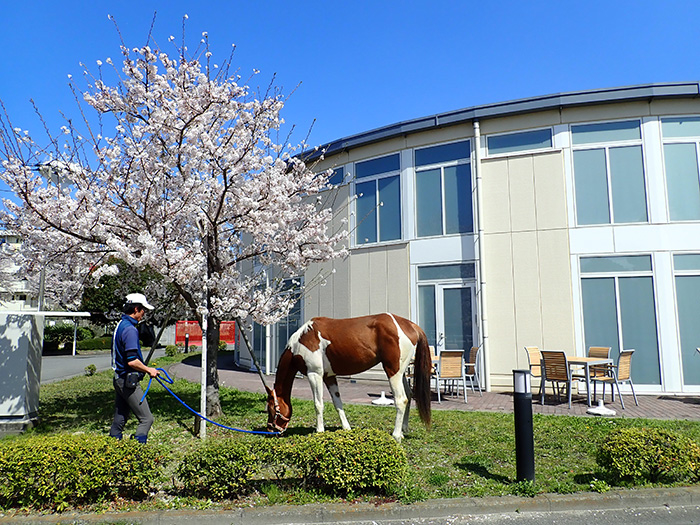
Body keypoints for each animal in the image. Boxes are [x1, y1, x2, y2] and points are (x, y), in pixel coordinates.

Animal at [266, 314, 432, 440]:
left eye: (271, 408)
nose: (270, 430)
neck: (302, 340)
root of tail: (410, 325)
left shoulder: (314, 374)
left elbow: (318, 404)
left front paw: (319, 431)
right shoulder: (329, 377)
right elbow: (337, 402)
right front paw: (346, 428)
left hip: (393, 372)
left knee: (401, 399)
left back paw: (396, 435)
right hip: (401, 372)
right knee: (409, 395)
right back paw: (403, 430)